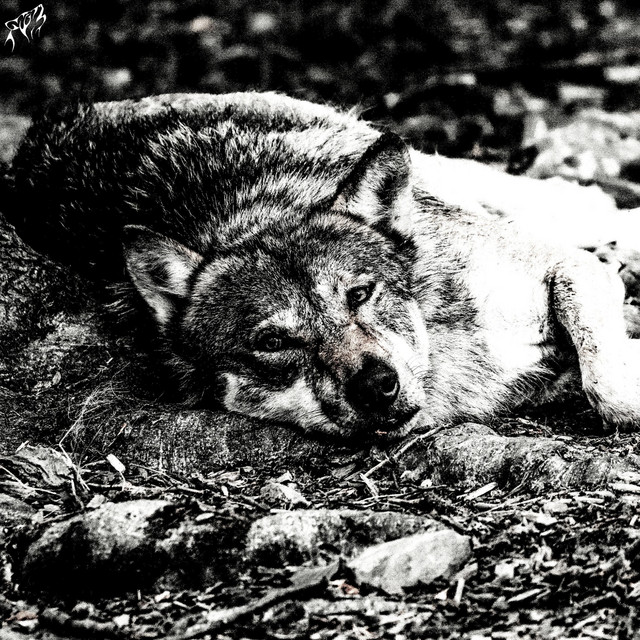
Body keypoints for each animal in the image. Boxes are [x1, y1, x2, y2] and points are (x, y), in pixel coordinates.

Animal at [5, 92, 640, 439]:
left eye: (359, 294)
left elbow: (607, 388)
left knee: (563, 198)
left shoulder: (566, 268)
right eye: (272, 343)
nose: (376, 386)